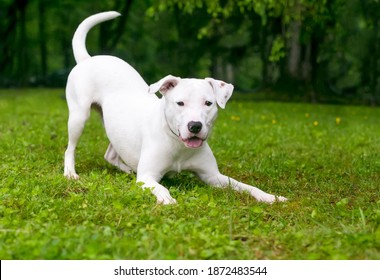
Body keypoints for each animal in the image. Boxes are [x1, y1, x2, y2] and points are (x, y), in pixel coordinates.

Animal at [63, 11, 286, 203]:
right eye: (180, 103)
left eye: (208, 103)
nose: (195, 126)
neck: (177, 142)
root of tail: (88, 59)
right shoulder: (148, 176)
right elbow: (160, 187)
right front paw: (166, 199)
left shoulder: (213, 176)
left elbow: (245, 186)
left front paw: (270, 197)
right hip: (79, 116)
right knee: (70, 148)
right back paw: (70, 172)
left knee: (111, 154)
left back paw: (127, 169)